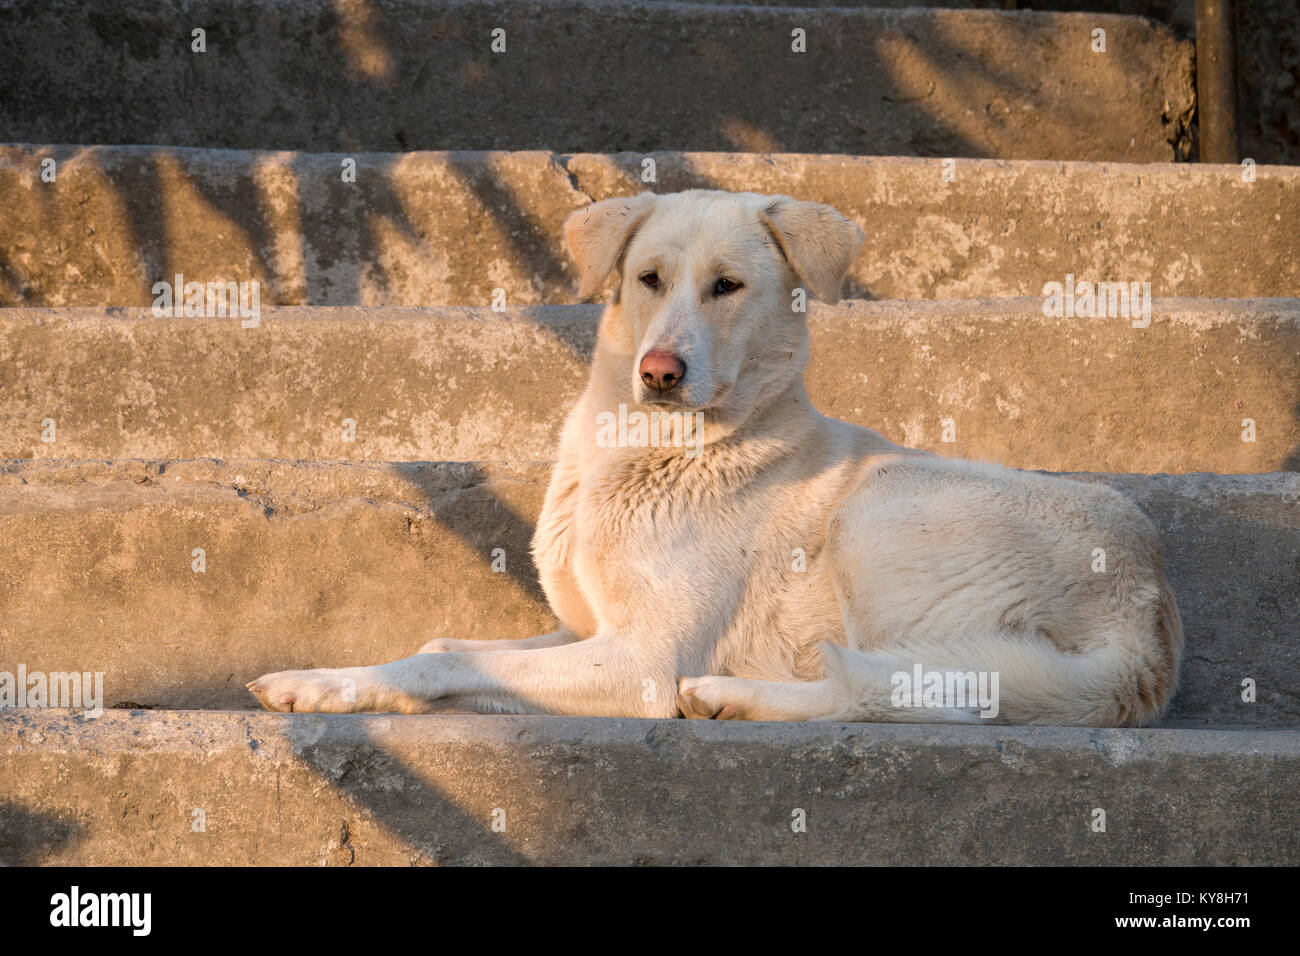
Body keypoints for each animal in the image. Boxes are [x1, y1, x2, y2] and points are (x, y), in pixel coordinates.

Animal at [248, 188, 1185, 723]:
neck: (648, 450)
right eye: (649, 279)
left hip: (881, 517)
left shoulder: (641, 662)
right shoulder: (582, 630)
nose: (659, 372)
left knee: (896, 696)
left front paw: (324, 687)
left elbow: (445, 655)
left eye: (727, 287)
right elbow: (453, 644)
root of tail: (1148, 623)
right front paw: (325, 679)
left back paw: (734, 697)